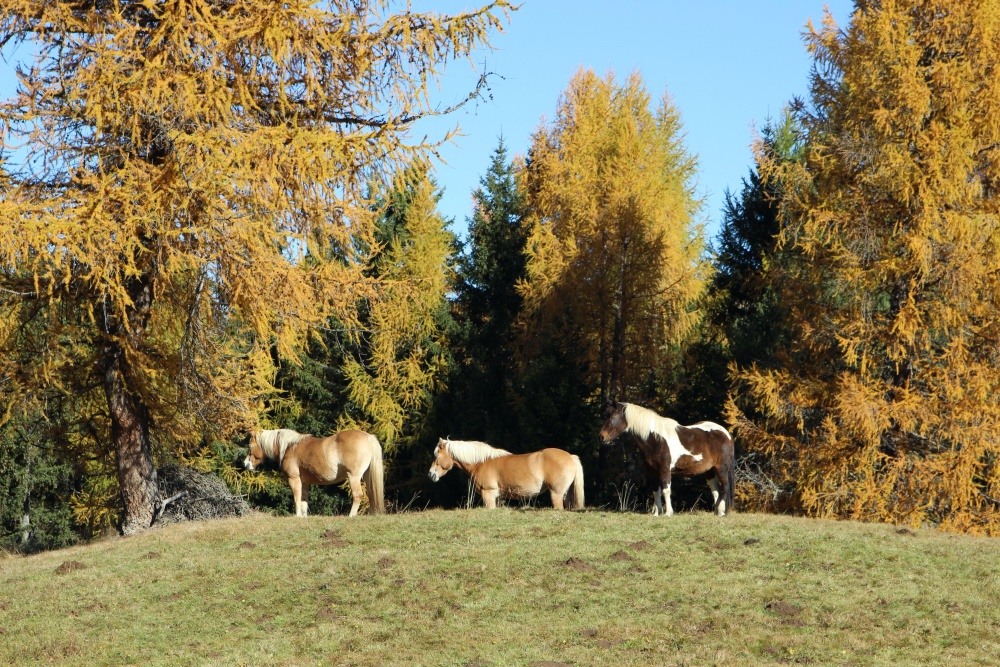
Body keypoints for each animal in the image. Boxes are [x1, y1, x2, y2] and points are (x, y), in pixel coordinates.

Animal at [243, 428, 384, 517]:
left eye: (250, 446)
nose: (246, 464)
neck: (290, 447)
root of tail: (368, 437)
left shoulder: (294, 479)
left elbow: (297, 498)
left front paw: (297, 516)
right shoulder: (304, 483)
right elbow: (304, 500)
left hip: (353, 476)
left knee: (358, 495)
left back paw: (351, 516)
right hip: (367, 476)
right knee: (371, 494)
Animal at [428, 438, 585, 510]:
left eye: (436, 456)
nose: (431, 475)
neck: (481, 462)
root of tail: (570, 456)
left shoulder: (488, 494)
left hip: (556, 494)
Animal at [599, 401, 734, 517]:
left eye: (613, 416)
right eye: (606, 415)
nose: (602, 437)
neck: (655, 438)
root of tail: (726, 434)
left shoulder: (665, 469)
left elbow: (666, 489)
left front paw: (668, 512)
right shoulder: (652, 470)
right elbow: (656, 490)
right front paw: (656, 513)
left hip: (721, 469)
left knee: (724, 487)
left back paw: (721, 512)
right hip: (710, 471)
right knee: (715, 490)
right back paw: (717, 511)